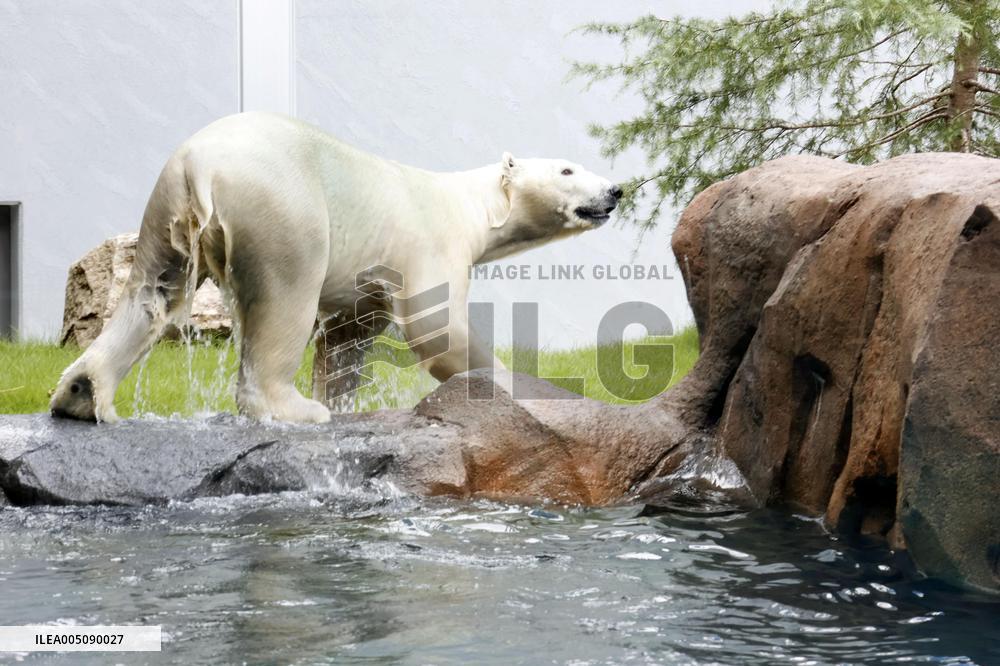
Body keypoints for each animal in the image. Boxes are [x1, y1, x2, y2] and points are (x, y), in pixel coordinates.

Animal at [50, 112, 622, 424]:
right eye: (567, 169)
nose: (615, 190)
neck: (470, 206)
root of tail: (201, 165)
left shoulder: (371, 279)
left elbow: (349, 336)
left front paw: (346, 401)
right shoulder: (431, 242)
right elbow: (437, 328)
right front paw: (509, 378)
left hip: (166, 202)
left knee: (154, 291)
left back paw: (82, 393)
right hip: (281, 205)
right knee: (285, 295)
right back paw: (296, 408)